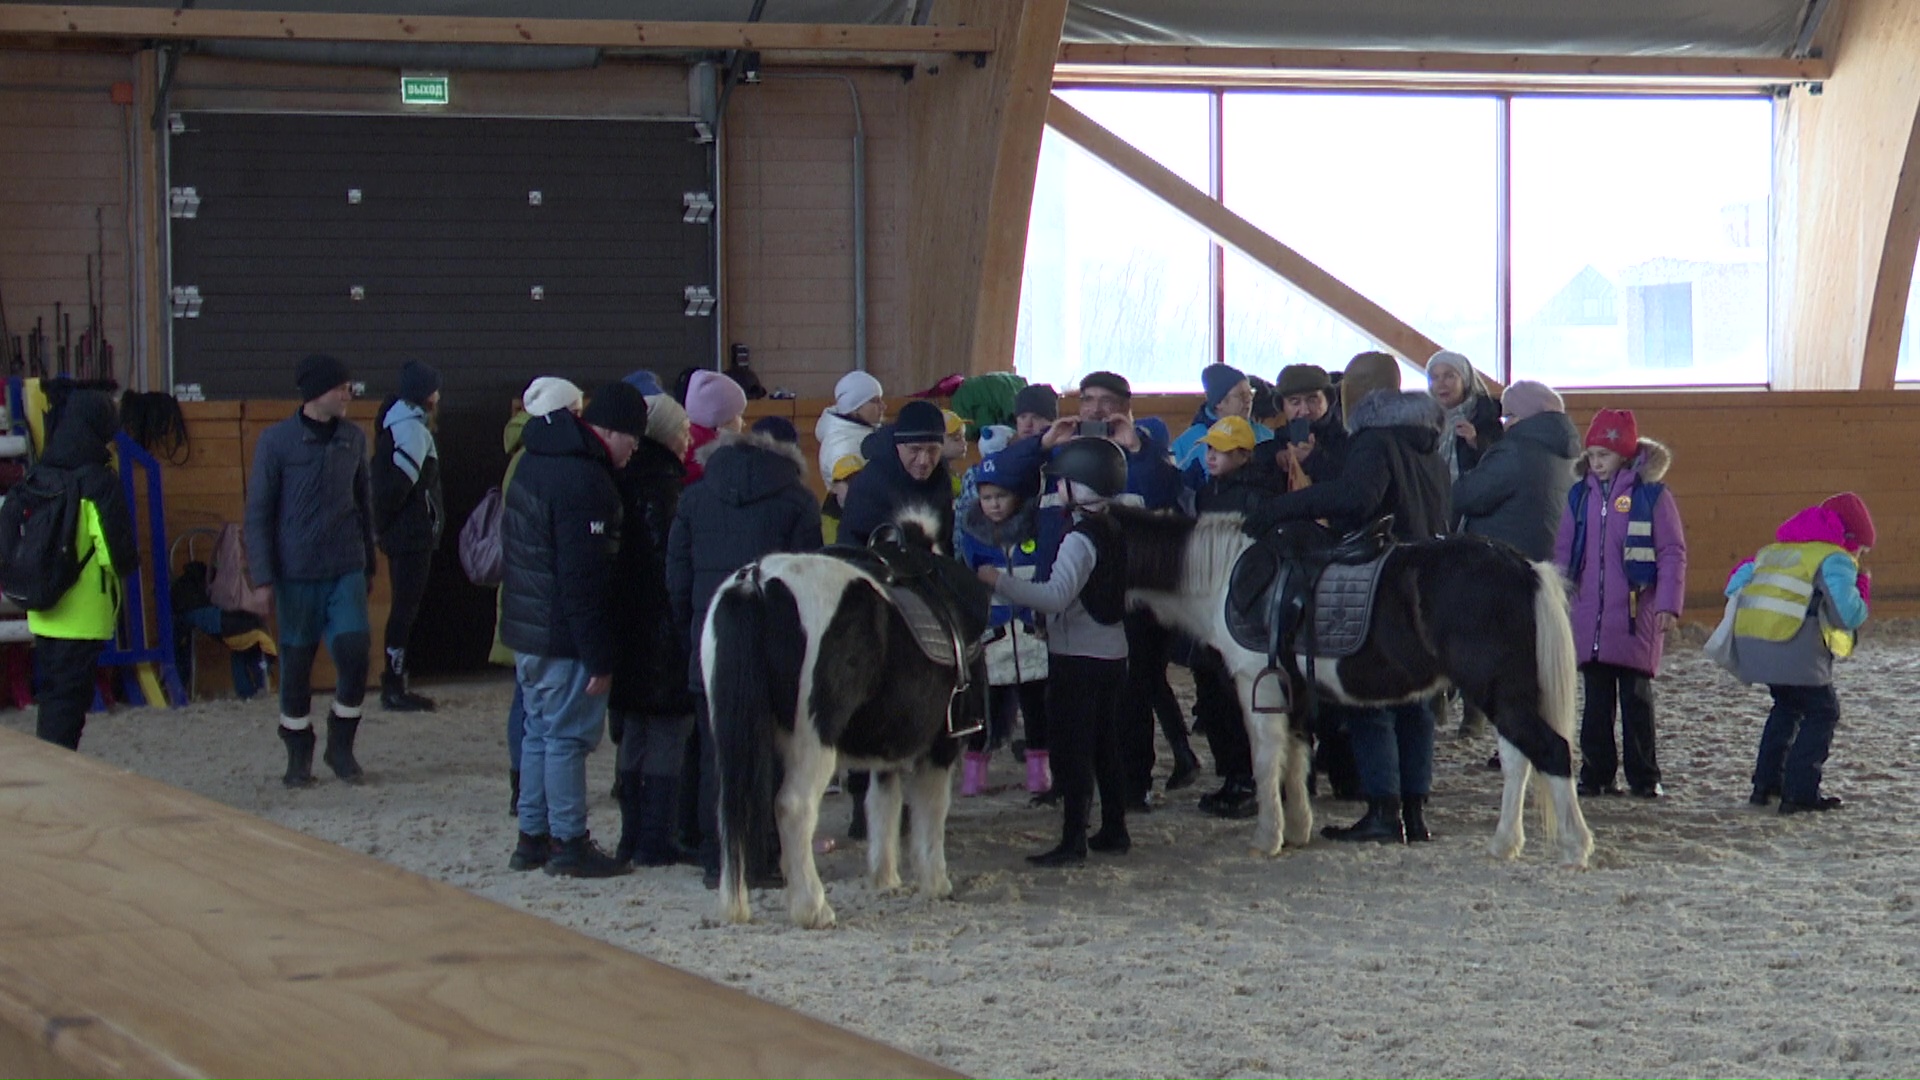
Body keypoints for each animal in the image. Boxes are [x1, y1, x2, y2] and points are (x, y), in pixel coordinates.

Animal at [1113, 503, 1589, 864]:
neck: (1226, 575)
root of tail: (1523, 568)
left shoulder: (1258, 686)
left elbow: (1266, 760)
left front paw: (1267, 837)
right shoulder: (1294, 691)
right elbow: (1296, 756)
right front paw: (1298, 829)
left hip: (1497, 692)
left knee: (1552, 751)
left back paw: (1574, 848)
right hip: (1508, 694)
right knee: (1518, 760)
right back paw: (1504, 844)